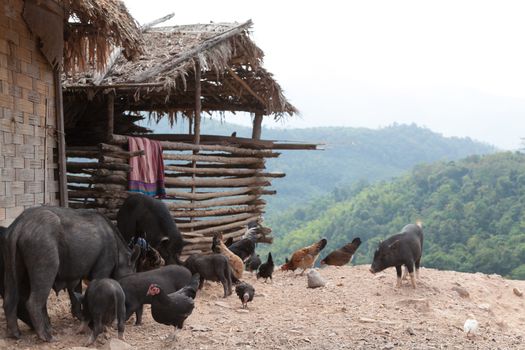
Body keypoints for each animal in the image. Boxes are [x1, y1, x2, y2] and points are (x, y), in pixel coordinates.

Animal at [2, 205, 141, 342]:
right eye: (132, 273)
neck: (118, 254)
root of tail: (19, 225)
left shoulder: (76, 276)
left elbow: (75, 295)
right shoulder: (102, 269)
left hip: (11, 265)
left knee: (11, 298)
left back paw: (15, 334)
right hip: (46, 264)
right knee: (34, 302)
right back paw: (47, 337)